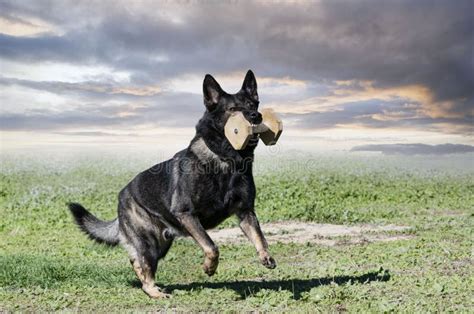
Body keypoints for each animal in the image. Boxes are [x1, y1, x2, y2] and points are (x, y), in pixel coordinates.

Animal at [66, 70, 274, 300]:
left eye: (253, 104)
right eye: (233, 109)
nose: (256, 116)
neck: (225, 159)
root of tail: (123, 195)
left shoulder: (245, 213)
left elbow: (260, 237)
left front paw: (265, 256)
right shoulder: (187, 214)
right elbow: (212, 246)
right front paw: (209, 267)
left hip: (161, 245)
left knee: (137, 262)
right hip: (149, 243)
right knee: (144, 265)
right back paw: (155, 292)